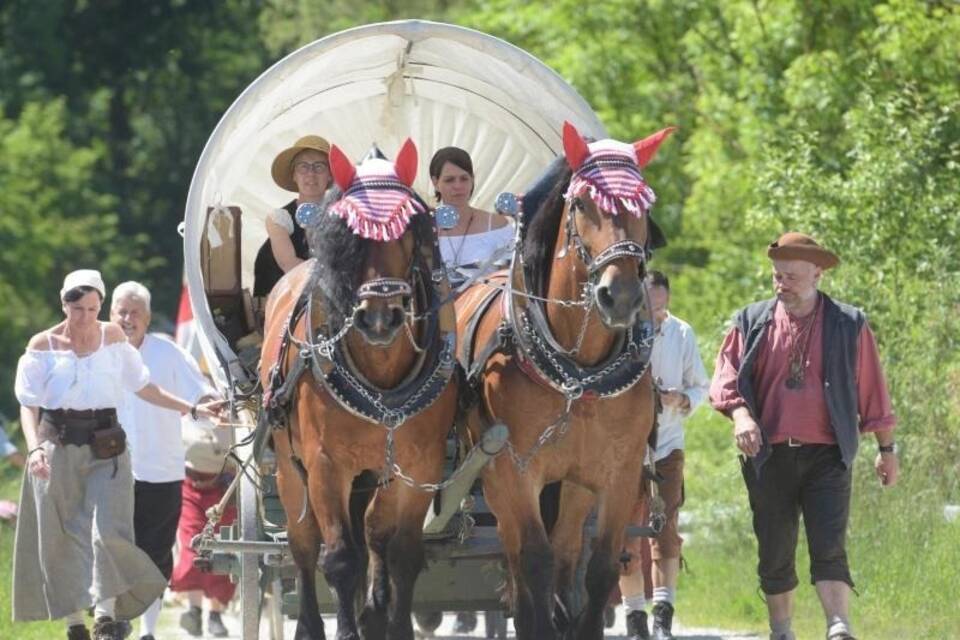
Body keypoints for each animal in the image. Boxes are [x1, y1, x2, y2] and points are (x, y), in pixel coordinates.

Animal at [260, 141, 460, 640]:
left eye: (410, 232)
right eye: (350, 239)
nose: (380, 319)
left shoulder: (419, 464)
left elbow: (400, 550)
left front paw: (389, 622)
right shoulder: (326, 464)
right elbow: (339, 558)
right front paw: (347, 627)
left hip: (372, 472)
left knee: (369, 530)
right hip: (289, 467)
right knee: (304, 543)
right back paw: (311, 623)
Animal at [454, 121, 672, 640]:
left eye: (643, 207)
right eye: (582, 205)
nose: (621, 295)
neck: (579, 376)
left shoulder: (618, 474)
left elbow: (599, 568)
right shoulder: (516, 472)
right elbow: (535, 561)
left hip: (573, 487)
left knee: (568, 551)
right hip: (492, 477)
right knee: (518, 559)